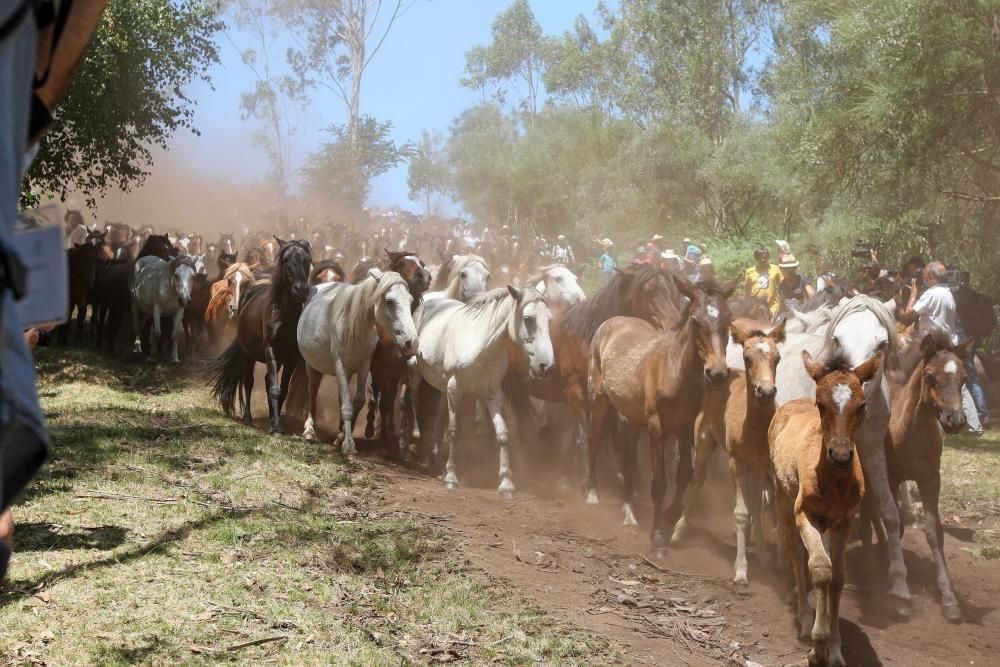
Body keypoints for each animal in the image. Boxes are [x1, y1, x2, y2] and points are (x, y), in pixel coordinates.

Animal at [213, 239, 314, 434]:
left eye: (308, 259)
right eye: (286, 259)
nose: (301, 290)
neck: (284, 316)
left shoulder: (291, 358)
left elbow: (282, 390)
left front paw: (276, 422)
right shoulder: (270, 351)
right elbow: (274, 388)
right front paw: (276, 428)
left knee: (267, 381)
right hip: (248, 355)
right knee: (249, 382)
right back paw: (247, 417)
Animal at [298, 268, 420, 454]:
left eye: (410, 300)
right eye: (389, 301)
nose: (411, 343)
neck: (353, 326)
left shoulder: (364, 366)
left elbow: (357, 401)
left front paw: (340, 437)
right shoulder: (340, 365)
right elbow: (347, 406)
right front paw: (348, 444)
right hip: (312, 367)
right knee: (312, 392)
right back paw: (309, 431)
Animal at [410, 284, 560, 498]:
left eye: (549, 320)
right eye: (528, 319)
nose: (546, 367)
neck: (480, 346)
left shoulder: (493, 394)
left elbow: (503, 434)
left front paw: (506, 483)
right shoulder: (455, 388)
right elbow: (454, 431)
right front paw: (451, 477)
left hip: (443, 387)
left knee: (439, 413)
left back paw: (436, 457)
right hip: (417, 372)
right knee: (412, 398)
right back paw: (416, 442)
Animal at [584, 276, 736, 552]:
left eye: (729, 318)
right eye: (695, 320)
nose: (717, 373)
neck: (674, 370)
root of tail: (613, 321)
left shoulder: (685, 426)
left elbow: (685, 473)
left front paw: (671, 514)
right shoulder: (657, 426)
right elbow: (659, 482)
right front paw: (657, 537)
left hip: (632, 418)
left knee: (629, 458)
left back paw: (629, 511)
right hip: (598, 400)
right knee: (593, 439)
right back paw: (592, 493)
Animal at [776, 296, 916, 616]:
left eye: (882, 343)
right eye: (837, 339)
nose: (849, 389)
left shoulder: (872, 450)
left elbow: (890, 512)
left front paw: (900, 586)